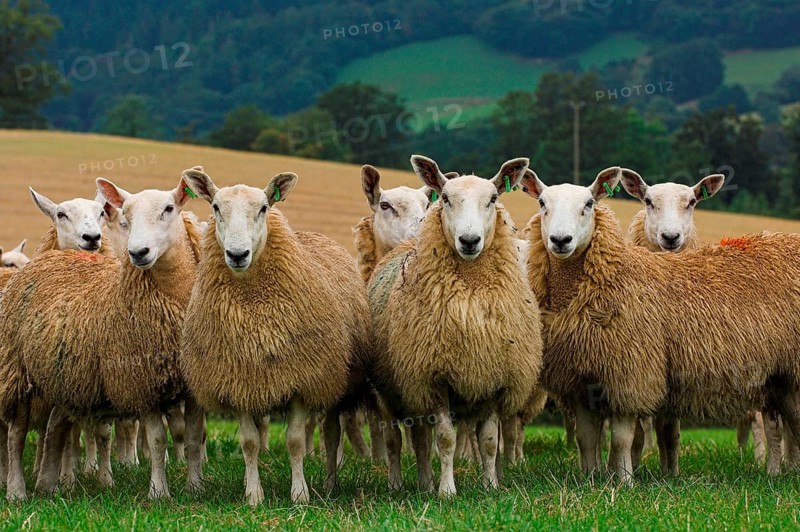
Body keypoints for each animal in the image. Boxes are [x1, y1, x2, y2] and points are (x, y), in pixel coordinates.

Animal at [0, 175, 205, 501]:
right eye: (127, 216)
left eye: (169, 209)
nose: (138, 253)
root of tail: (54, 257)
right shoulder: (140, 381)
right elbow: (157, 440)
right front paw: (158, 493)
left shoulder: (192, 386)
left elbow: (194, 437)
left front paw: (196, 487)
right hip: (17, 372)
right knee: (16, 435)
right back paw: (17, 490)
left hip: (63, 378)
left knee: (56, 429)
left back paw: (48, 484)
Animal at [179, 168, 371, 505]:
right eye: (215, 208)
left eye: (263, 208)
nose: (237, 254)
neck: (252, 305)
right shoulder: (239, 383)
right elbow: (249, 443)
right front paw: (254, 495)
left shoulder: (301, 379)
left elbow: (295, 441)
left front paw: (300, 494)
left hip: (334, 380)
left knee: (331, 434)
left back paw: (330, 483)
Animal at [368, 155, 542, 496]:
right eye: (446, 198)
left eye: (493, 198)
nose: (469, 241)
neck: (471, 290)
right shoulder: (434, 378)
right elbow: (446, 440)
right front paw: (447, 491)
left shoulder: (494, 378)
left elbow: (489, 442)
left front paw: (490, 485)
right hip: (391, 390)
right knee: (395, 439)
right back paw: (397, 483)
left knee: (420, 440)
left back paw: (424, 482)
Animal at [521, 167, 800, 482]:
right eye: (542, 203)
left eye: (589, 204)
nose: (560, 240)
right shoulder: (581, 380)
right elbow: (587, 439)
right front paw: (590, 479)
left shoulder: (631, 375)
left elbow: (623, 438)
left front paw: (624, 480)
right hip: (779, 379)